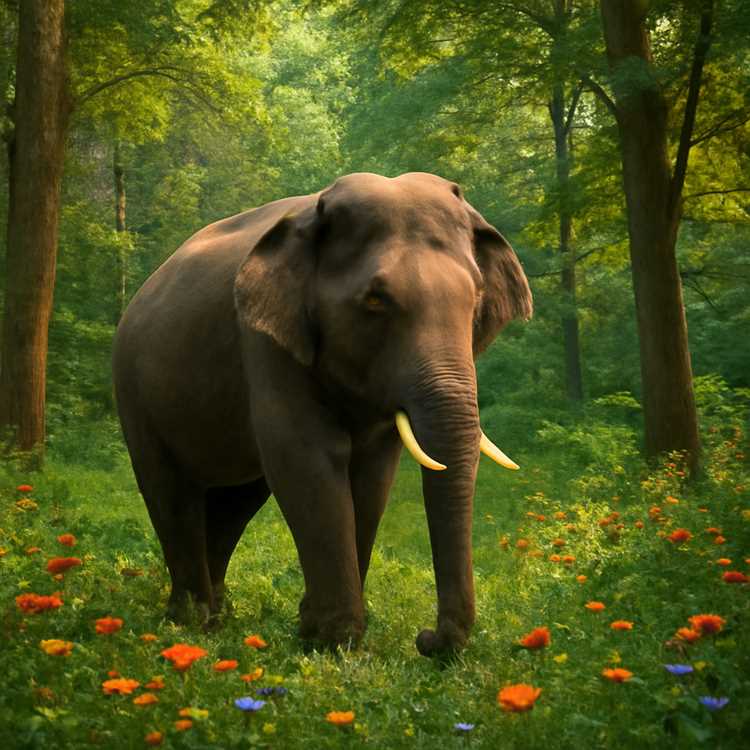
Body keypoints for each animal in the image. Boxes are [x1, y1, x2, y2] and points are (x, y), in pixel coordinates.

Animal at [113, 171, 532, 656]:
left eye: (476, 296)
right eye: (375, 301)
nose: (426, 640)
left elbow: (372, 471)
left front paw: (312, 629)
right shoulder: (263, 339)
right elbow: (306, 455)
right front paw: (337, 641)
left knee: (235, 502)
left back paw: (219, 618)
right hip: (134, 393)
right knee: (170, 492)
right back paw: (189, 623)